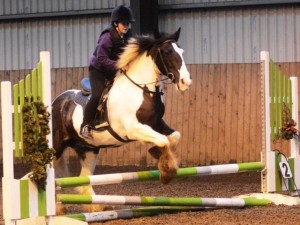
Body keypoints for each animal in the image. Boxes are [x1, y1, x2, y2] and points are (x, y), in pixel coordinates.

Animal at [51, 27, 192, 212]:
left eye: (182, 51)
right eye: (168, 52)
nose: (185, 82)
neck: (142, 89)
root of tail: (56, 102)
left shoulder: (156, 123)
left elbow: (173, 137)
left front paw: (160, 157)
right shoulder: (133, 129)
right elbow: (163, 140)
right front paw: (166, 170)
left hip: (88, 149)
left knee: (84, 179)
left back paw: (97, 207)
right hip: (56, 147)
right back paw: (58, 209)